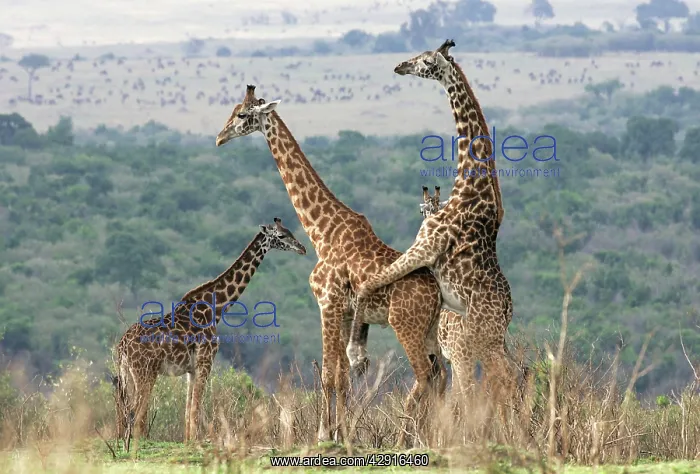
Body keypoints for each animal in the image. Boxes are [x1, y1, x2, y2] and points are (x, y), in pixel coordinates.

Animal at [113, 218, 307, 444]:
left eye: (290, 231)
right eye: (282, 235)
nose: (302, 248)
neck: (216, 308)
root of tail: (122, 346)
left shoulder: (191, 369)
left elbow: (188, 411)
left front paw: (189, 441)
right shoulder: (205, 362)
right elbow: (196, 410)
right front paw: (196, 443)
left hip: (127, 373)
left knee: (124, 410)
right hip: (145, 373)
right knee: (135, 412)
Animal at [215, 85, 445, 447]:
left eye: (241, 114)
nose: (219, 138)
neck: (322, 232)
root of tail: (437, 293)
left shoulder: (327, 303)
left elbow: (327, 374)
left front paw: (324, 434)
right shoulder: (346, 311)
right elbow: (343, 376)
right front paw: (344, 434)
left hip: (405, 325)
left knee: (424, 375)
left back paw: (405, 439)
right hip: (429, 328)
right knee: (440, 376)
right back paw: (432, 437)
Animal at [348, 39, 519, 412]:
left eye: (426, 61)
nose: (400, 65)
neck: (468, 186)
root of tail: (507, 312)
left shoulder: (424, 246)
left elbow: (368, 284)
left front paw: (356, 354)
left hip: (476, 340)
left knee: (493, 380)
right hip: (490, 340)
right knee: (513, 375)